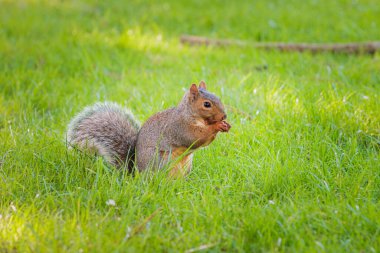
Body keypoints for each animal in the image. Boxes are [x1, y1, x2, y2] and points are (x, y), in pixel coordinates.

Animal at [66, 82, 230, 177]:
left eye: (218, 98)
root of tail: (136, 174)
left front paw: (225, 125)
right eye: (207, 104)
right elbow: (196, 137)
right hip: (161, 161)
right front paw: (216, 126)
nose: (224, 115)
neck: (192, 115)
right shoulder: (180, 127)